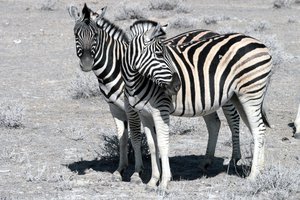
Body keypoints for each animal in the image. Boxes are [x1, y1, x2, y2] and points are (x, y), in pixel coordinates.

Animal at [68, 3, 241, 184]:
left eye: (95, 34)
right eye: (75, 34)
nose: (87, 63)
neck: (118, 66)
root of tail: (212, 32)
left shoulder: (133, 108)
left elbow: (136, 137)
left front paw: (138, 171)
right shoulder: (114, 108)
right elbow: (122, 139)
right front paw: (120, 169)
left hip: (225, 93)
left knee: (233, 119)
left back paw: (234, 160)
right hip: (203, 96)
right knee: (214, 123)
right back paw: (206, 162)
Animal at [123, 19, 274, 190]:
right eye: (160, 54)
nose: (177, 85)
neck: (136, 81)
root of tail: (260, 43)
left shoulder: (160, 110)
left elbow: (162, 144)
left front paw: (164, 181)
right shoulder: (144, 114)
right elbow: (152, 145)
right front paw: (152, 181)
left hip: (251, 93)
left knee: (258, 129)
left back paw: (253, 175)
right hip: (239, 97)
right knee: (255, 129)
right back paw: (260, 170)